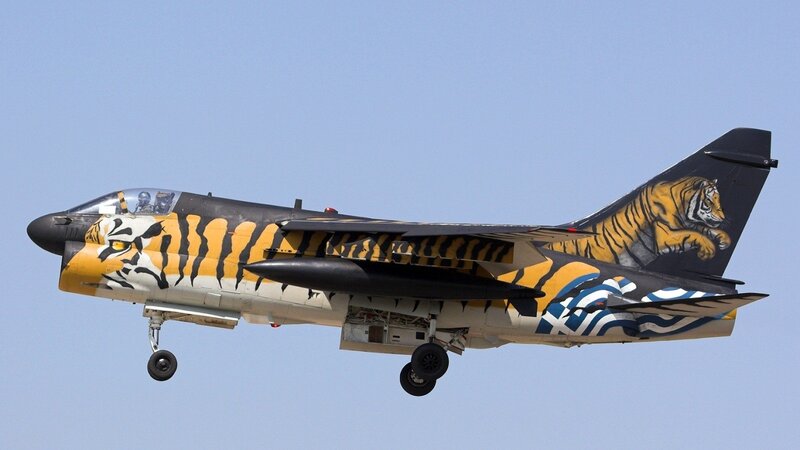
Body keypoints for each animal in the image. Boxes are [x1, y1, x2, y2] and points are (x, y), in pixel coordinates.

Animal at [546, 177, 731, 268]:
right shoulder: (664, 236)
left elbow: (701, 229)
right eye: (709, 201)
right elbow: (694, 233)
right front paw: (709, 247)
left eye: (719, 200)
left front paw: (722, 239)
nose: (723, 219)